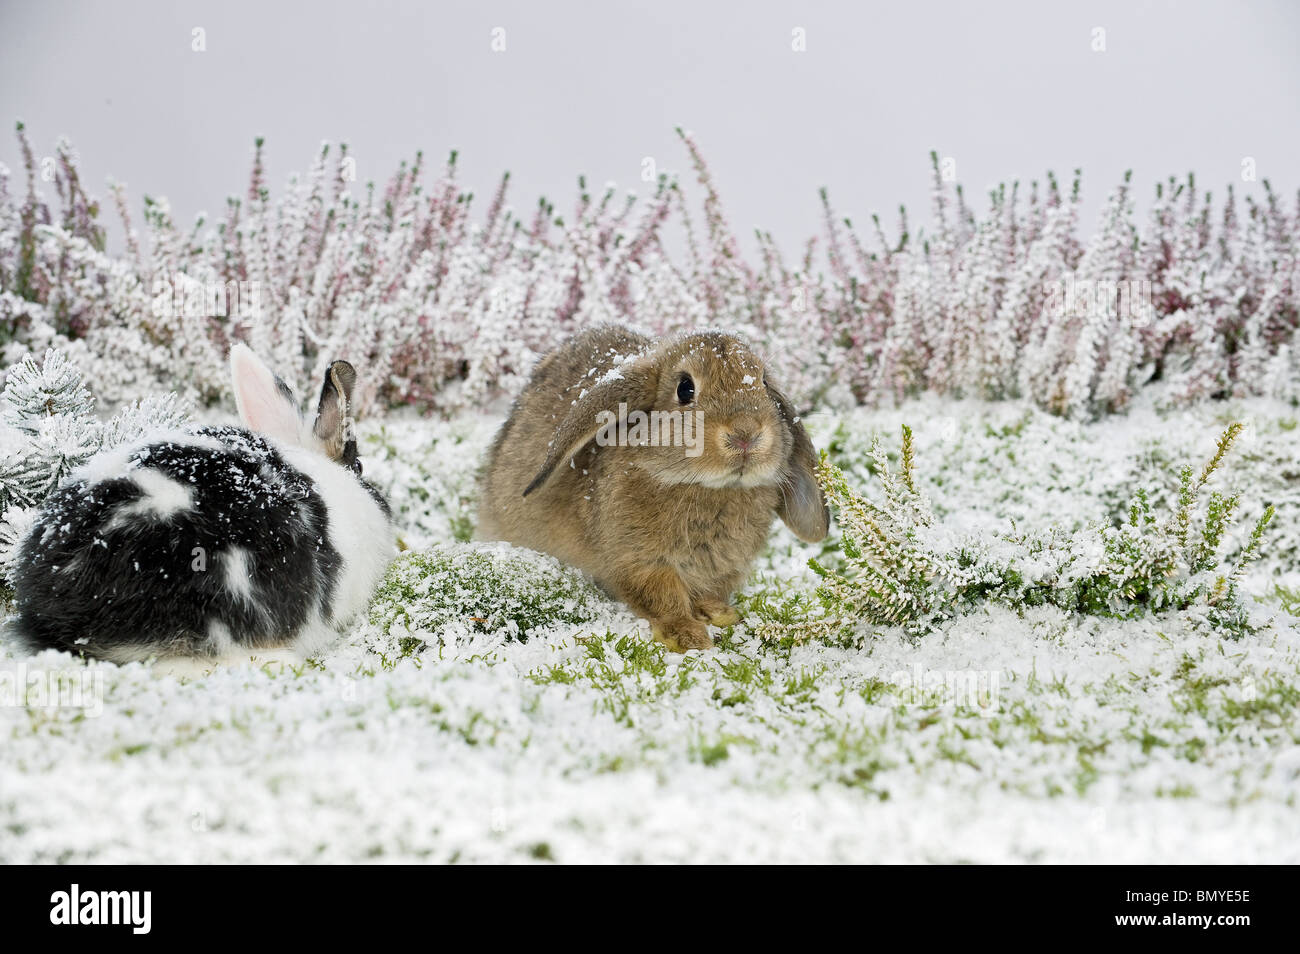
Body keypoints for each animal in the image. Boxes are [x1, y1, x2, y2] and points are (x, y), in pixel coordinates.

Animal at [477, 325, 829, 652]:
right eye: (685, 388)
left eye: (764, 383)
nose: (746, 434)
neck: (704, 485)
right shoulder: (641, 562)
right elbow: (663, 597)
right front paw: (687, 637)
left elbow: (709, 592)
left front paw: (720, 614)